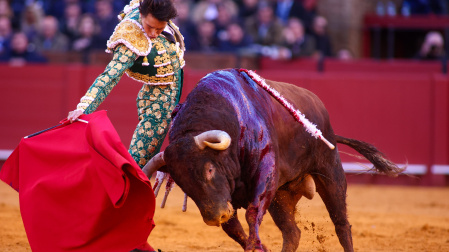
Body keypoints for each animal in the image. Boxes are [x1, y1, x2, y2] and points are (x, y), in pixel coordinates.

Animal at [144, 69, 402, 252]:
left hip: (330, 171)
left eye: (209, 169)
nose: (215, 216)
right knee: (292, 232)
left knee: (341, 223)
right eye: (181, 183)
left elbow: (251, 214)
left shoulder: (265, 174)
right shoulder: (226, 198)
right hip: (281, 195)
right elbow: (234, 229)